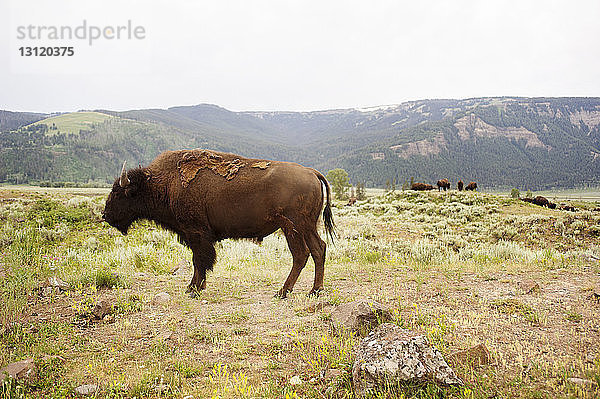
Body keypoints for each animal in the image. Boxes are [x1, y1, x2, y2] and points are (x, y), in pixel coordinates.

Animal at [104, 148, 338, 298]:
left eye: (118, 193)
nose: (105, 215)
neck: (167, 183)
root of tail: (312, 172)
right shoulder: (196, 236)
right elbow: (199, 261)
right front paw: (194, 287)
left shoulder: (196, 234)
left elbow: (199, 261)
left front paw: (194, 290)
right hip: (308, 226)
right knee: (318, 249)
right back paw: (314, 291)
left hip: (293, 227)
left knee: (301, 254)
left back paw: (283, 292)